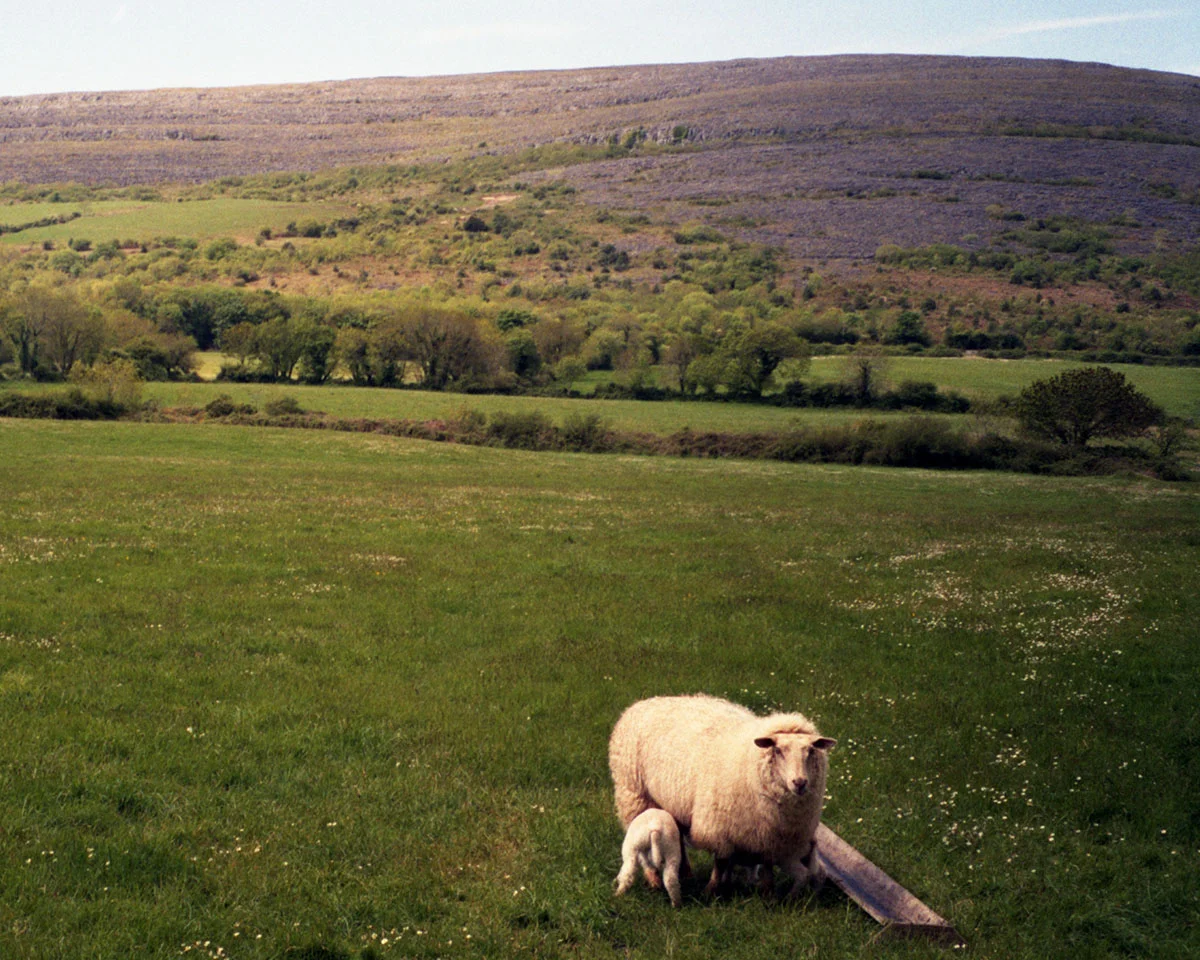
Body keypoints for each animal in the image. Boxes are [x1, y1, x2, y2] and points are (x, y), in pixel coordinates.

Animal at [608, 694, 836, 898]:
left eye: (811, 751)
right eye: (778, 750)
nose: (800, 782)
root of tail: (645, 702)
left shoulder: (771, 835)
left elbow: (766, 864)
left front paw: (767, 892)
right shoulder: (719, 826)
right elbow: (721, 861)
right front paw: (712, 890)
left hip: (674, 806)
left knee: (678, 838)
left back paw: (686, 872)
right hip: (636, 795)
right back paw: (654, 878)